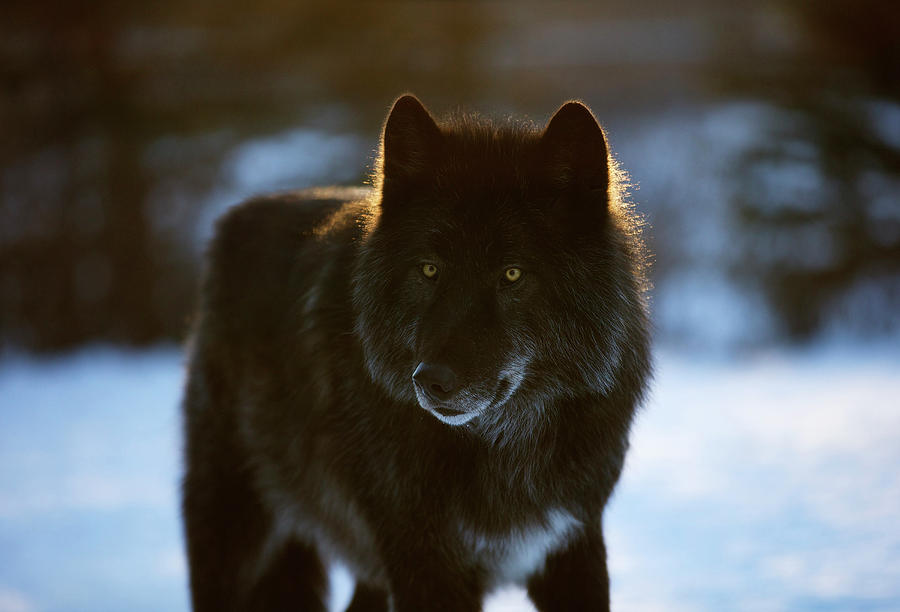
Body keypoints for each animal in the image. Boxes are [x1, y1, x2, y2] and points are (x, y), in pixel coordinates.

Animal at [181, 95, 648, 612]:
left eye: (511, 274)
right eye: (429, 269)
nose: (431, 380)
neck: (503, 448)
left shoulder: (574, 543)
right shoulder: (423, 563)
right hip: (234, 539)